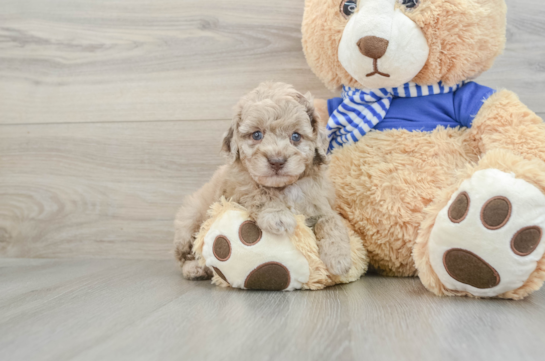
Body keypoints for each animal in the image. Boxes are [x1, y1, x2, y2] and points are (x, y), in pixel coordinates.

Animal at [174, 83, 352, 280]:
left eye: (296, 136)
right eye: (257, 135)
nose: (277, 161)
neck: (283, 187)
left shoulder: (320, 204)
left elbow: (332, 221)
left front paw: (339, 257)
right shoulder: (239, 190)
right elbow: (259, 193)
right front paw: (277, 215)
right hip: (189, 220)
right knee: (185, 252)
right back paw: (195, 268)